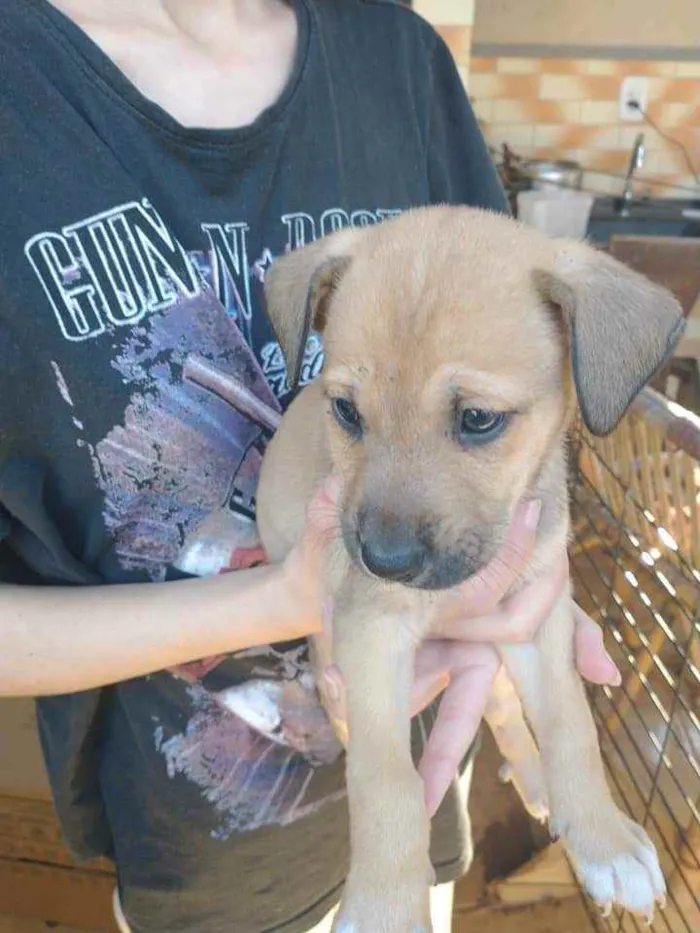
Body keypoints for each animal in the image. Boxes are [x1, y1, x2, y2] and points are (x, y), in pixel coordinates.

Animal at [256, 209, 684, 932]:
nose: (385, 562)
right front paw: (384, 907)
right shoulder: (371, 634)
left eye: (479, 419)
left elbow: (572, 725)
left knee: (510, 713)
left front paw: (603, 837)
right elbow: (386, 783)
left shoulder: (538, 615)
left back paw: (538, 784)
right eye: (346, 412)